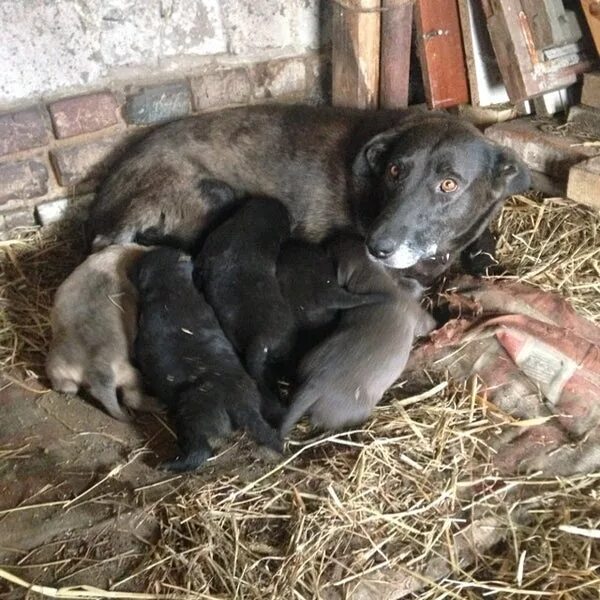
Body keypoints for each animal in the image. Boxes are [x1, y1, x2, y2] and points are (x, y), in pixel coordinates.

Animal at [47, 244, 155, 422]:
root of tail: (96, 373)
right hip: (128, 372)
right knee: (131, 396)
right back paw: (158, 406)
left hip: (58, 365)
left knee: (66, 385)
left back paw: (68, 391)